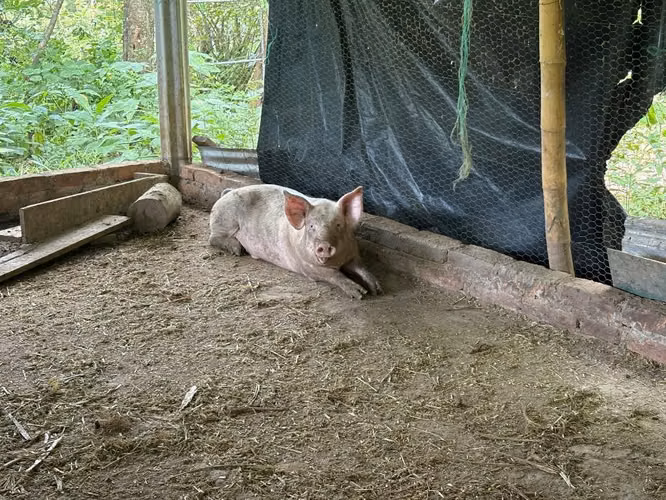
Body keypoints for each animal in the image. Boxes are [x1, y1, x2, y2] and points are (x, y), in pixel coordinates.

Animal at [208, 184, 382, 299]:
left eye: (338, 225)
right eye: (311, 226)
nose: (324, 246)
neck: (336, 262)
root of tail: (228, 192)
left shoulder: (353, 254)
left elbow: (362, 267)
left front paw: (377, 289)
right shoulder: (307, 266)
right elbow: (334, 275)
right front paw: (360, 294)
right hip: (225, 220)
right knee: (212, 238)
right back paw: (238, 250)